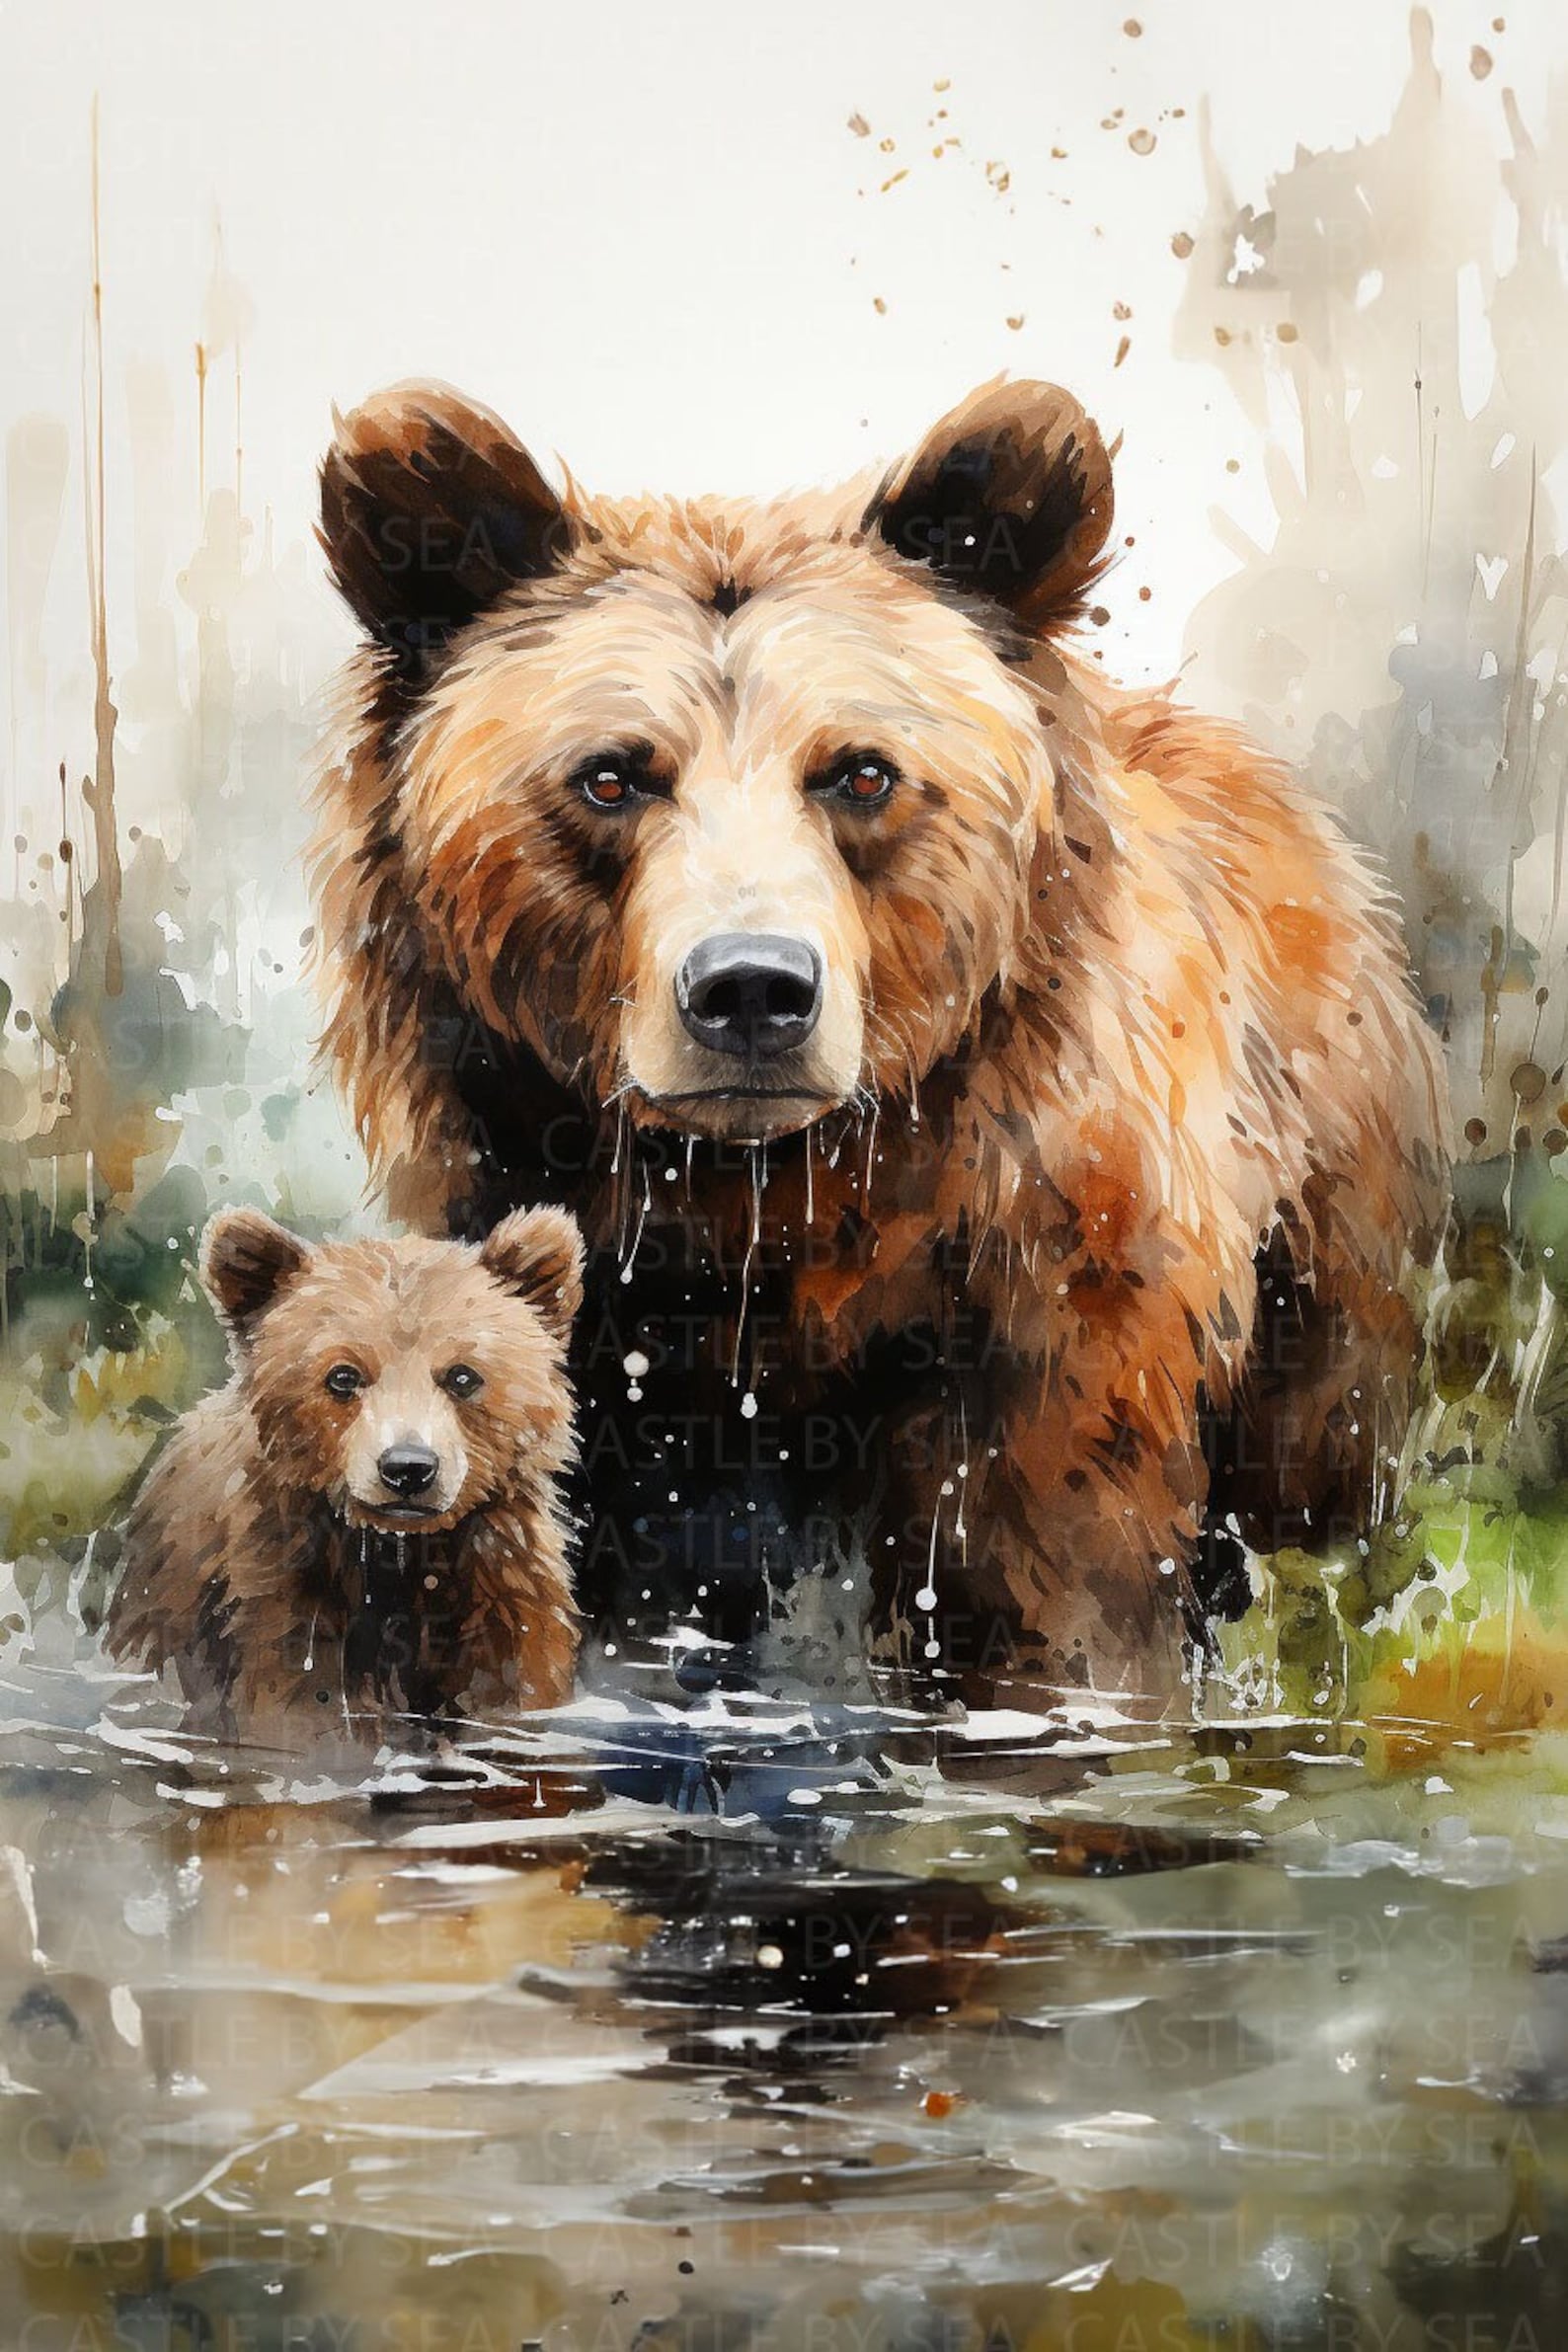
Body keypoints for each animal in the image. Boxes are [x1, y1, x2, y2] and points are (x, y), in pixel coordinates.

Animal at [104, 1203, 586, 1742]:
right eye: (342, 1376)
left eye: (463, 1375)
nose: (408, 1468)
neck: (397, 1556)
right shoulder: (284, 1592)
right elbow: (296, 1698)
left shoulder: (501, 1589)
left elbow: (516, 1682)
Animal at [308, 375, 1450, 1695]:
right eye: (609, 777)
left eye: (860, 773)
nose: (752, 992)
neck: (772, 1200)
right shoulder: (578, 1285)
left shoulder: (1041, 1281)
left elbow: (1045, 1567)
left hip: (1326, 1229)